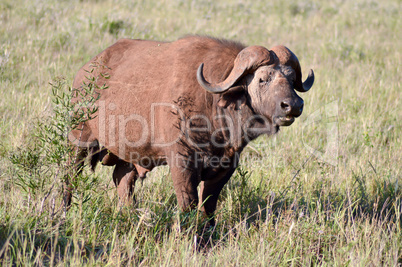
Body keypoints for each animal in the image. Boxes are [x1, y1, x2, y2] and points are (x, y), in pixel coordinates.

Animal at [66, 35, 314, 224]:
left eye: (291, 78)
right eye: (262, 79)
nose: (293, 105)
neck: (213, 106)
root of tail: (85, 73)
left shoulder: (226, 167)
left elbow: (208, 205)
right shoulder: (181, 162)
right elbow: (188, 203)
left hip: (128, 157)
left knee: (122, 181)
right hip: (79, 141)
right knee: (69, 177)